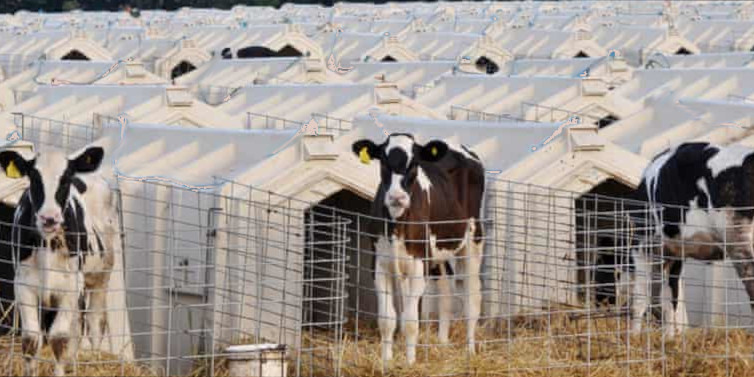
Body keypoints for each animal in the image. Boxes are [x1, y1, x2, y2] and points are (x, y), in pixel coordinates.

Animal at [0, 147, 114, 376]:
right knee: (78, 325)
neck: (47, 243)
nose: (49, 218)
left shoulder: (69, 286)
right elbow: (31, 339)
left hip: (100, 277)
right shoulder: (24, 285)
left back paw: (94, 363)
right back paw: (74, 364)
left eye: (66, 179)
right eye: (34, 178)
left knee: (95, 322)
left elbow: (59, 340)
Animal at [352, 134, 484, 366]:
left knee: (472, 298)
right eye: (383, 161)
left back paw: (470, 351)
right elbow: (387, 319)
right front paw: (386, 362)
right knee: (445, 292)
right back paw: (442, 343)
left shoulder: (418, 264)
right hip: (437, 253)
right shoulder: (379, 264)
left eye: (414, 164)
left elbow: (411, 320)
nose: (397, 197)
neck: (397, 224)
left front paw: (410, 363)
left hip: (473, 237)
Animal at [628, 142, 754, 334]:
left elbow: (642, 298)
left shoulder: (642, 245)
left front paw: (634, 337)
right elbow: (670, 299)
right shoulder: (674, 252)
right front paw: (669, 337)